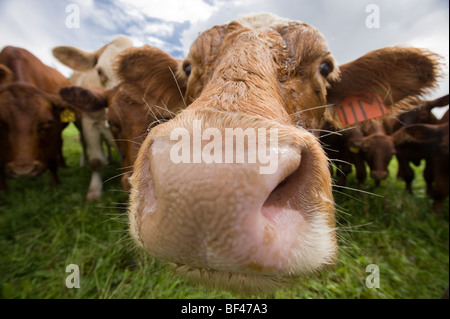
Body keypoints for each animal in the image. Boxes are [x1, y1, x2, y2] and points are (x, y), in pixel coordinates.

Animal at [0, 46, 71, 191]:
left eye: (48, 122)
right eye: (1, 122)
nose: (23, 171)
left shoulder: (54, 129)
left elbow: (51, 158)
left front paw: (55, 183)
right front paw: (4, 188)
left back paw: (62, 164)